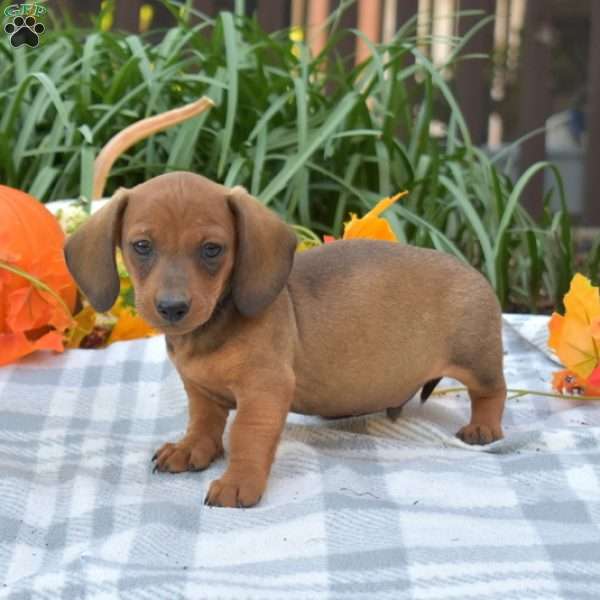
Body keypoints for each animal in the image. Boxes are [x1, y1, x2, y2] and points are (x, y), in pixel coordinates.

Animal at [65, 171, 506, 508]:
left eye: (212, 249)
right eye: (141, 246)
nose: (173, 308)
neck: (214, 330)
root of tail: (475, 273)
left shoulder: (265, 391)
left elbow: (245, 435)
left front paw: (238, 482)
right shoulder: (201, 391)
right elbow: (204, 425)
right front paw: (191, 450)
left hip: (477, 360)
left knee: (492, 392)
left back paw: (483, 428)